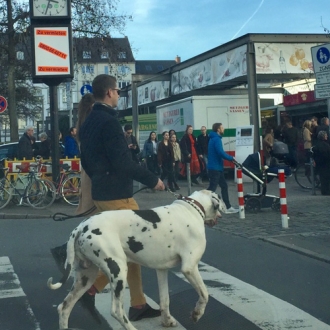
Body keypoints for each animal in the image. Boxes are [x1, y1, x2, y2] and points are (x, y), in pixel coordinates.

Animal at [47, 189, 227, 328]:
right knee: (117, 311)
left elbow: (165, 300)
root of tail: (80, 228)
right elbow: (204, 294)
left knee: (64, 307)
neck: (192, 208)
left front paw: (167, 321)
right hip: (118, 270)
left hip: (86, 277)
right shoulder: (189, 268)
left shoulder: (161, 270)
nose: (226, 209)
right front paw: (197, 313)